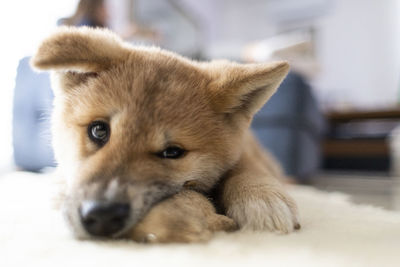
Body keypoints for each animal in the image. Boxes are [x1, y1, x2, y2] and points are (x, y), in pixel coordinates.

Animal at [32, 27, 300, 245]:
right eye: (98, 130)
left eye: (172, 152)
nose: (102, 216)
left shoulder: (249, 153)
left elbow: (246, 167)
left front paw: (261, 196)